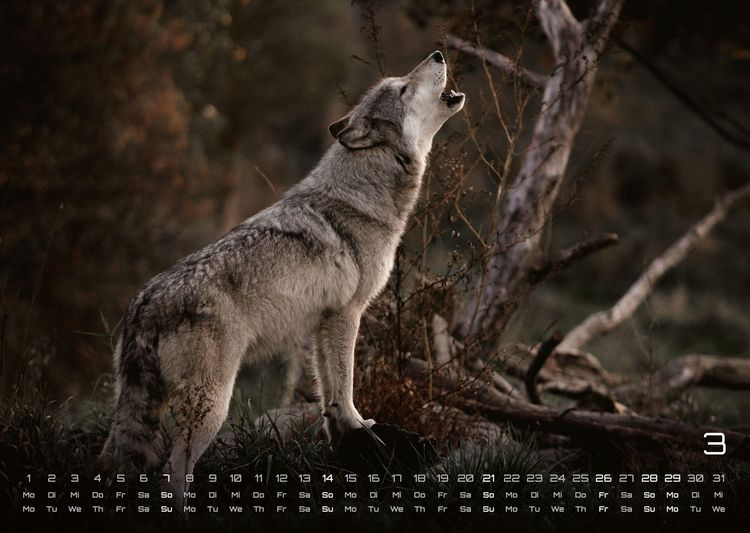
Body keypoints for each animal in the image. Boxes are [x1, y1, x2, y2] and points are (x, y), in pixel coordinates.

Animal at [100, 51, 464, 500]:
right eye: (403, 88)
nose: (438, 54)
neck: (364, 195)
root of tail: (144, 304)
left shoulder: (322, 325)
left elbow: (329, 392)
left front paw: (346, 433)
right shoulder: (347, 315)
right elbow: (346, 384)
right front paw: (360, 426)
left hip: (135, 410)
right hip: (211, 408)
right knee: (173, 472)